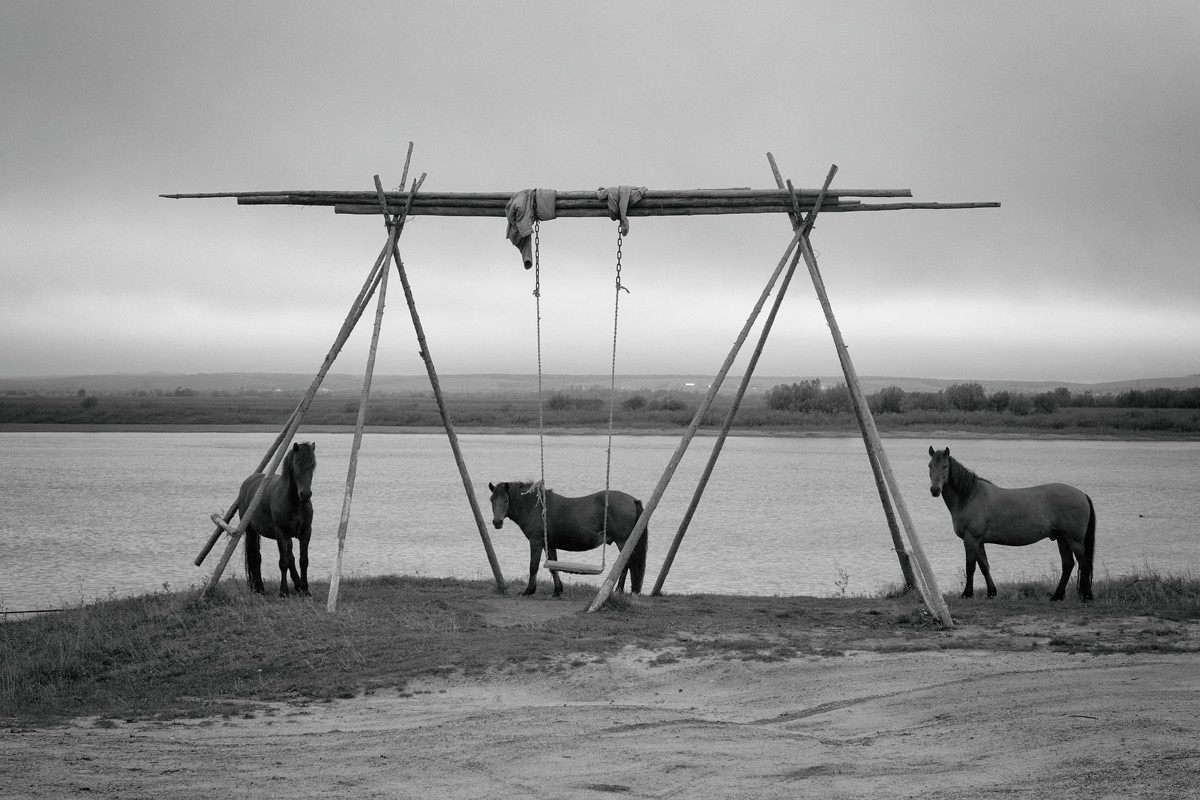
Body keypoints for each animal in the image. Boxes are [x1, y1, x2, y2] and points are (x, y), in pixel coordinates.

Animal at [234, 441, 316, 597]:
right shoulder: (281, 534)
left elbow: (303, 561)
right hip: (251, 531)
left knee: (290, 557)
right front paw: (283, 592)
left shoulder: (306, 533)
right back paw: (259, 587)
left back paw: (298, 585)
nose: (306, 494)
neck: (295, 503)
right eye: (296, 465)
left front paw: (305, 589)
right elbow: (283, 562)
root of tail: (248, 481)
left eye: (313, 465)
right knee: (255, 555)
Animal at [487, 479, 648, 597]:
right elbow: (553, 567)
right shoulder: (549, 544)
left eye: (506, 500)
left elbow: (533, 566)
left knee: (625, 565)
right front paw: (557, 591)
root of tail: (632, 500)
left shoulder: (536, 542)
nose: (497, 522)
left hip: (623, 542)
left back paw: (618, 591)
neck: (536, 508)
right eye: (491, 500)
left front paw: (529, 590)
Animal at [926, 443, 1099, 599]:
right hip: (1062, 538)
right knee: (1068, 564)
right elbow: (984, 566)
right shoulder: (979, 541)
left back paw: (1087, 596)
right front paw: (991, 592)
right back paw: (1057, 596)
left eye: (945, 466)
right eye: (930, 465)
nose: (935, 490)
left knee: (1083, 563)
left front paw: (967, 594)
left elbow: (971, 567)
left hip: (1074, 539)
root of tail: (1082, 494)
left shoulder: (971, 539)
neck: (971, 497)